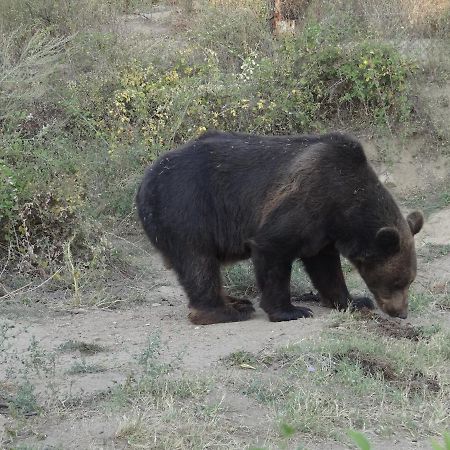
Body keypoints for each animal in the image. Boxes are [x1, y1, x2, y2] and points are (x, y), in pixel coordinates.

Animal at [135, 130, 424, 324]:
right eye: (398, 281)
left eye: (410, 280)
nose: (401, 312)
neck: (345, 204)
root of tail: (144, 182)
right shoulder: (306, 199)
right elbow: (273, 249)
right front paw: (292, 310)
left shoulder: (324, 231)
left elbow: (326, 267)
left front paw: (354, 300)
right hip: (187, 209)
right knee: (198, 263)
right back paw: (226, 310)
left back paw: (237, 301)